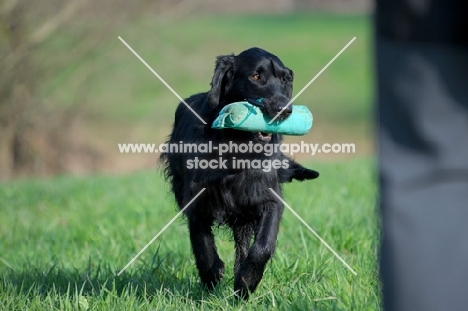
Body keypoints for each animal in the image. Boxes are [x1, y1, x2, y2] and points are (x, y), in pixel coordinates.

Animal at [160, 47, 318, 300]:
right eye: (256, 76)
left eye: (285, 80)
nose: (285, 109)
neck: (239, 146)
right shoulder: (197, 199)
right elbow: (201, 243)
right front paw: (212, 275)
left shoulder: (267, 198)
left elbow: (263, 246)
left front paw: (246, 281)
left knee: (243, 244)